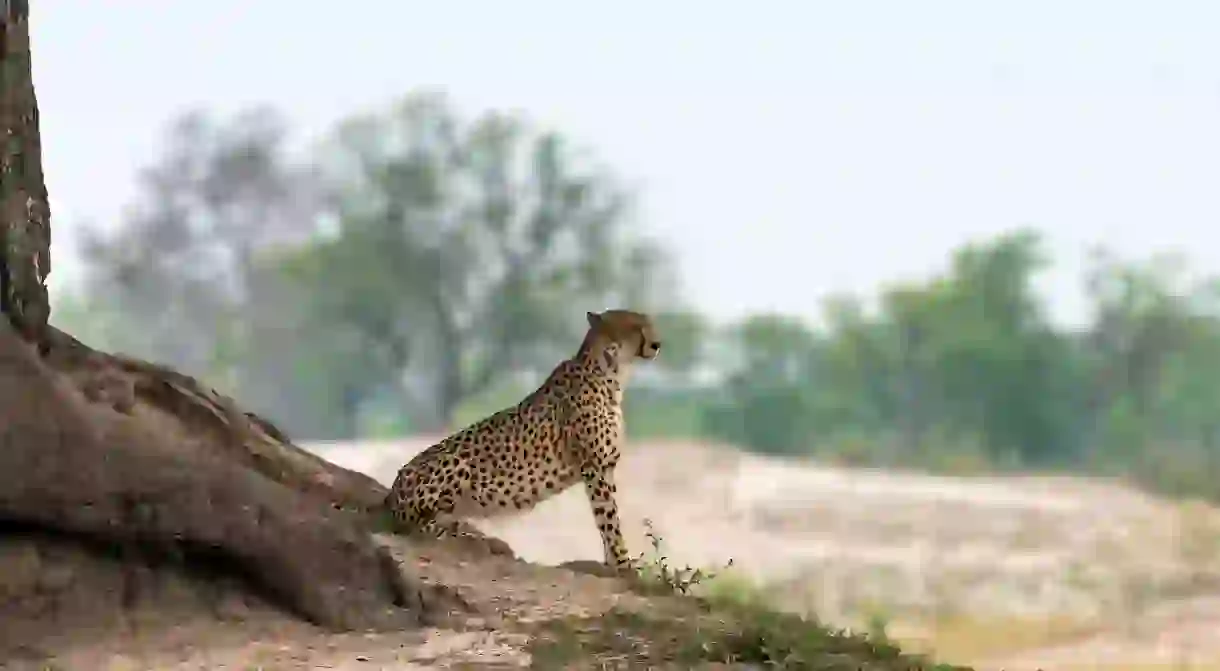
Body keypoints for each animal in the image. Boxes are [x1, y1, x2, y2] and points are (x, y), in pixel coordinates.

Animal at [385, 309, 663, 573]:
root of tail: (393, 490)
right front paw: (623, 564)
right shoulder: (594, 466)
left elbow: (606, 518)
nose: (657, 344)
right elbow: (608, 518)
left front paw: (613, 562)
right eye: (635, 326)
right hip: (457, 463)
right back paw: (467, 537)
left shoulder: (606, 467)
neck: (611, 373)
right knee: (420, 529)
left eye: (649, 323)